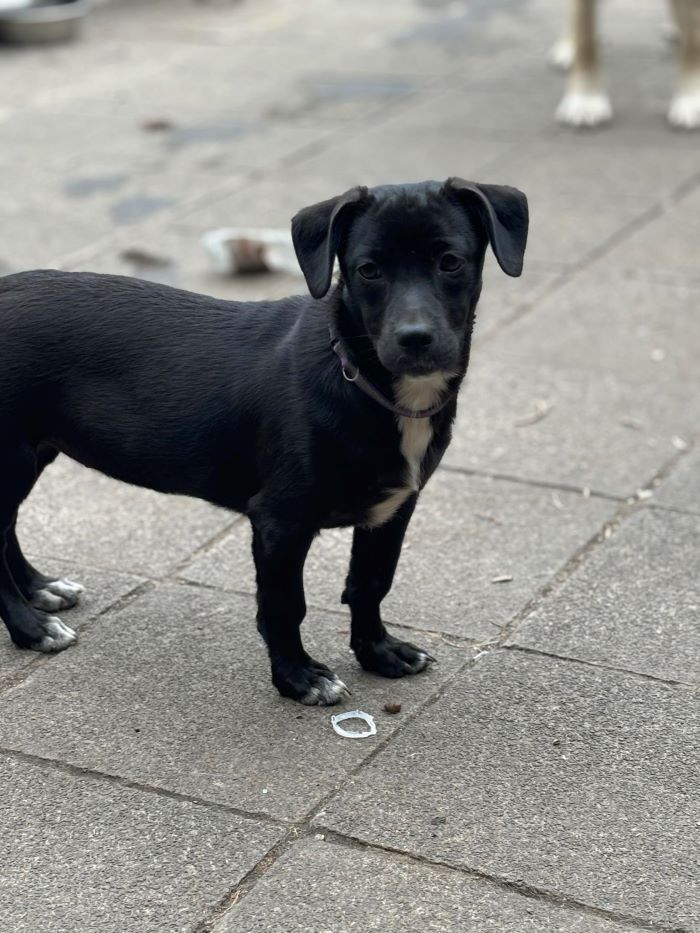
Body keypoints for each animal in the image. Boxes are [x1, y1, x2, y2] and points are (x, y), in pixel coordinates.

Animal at [0, 178, 524, 704]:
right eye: (368, 270)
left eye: (450, 262)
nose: (414, 338)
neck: (359, 378)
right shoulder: (280, 522)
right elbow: (284, 605)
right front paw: (298, 677)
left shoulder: (393, 509)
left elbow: (371, 582)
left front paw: (379, 652)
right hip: (11, 457)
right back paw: (31, 628)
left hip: (29, 455)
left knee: (7, 532)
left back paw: (40, 589)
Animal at [552, 0, 700, 128]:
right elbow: (585, 38)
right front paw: (586, 99)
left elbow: (693, 42)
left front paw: (691, 99)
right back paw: (567, 46)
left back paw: (676, 28)